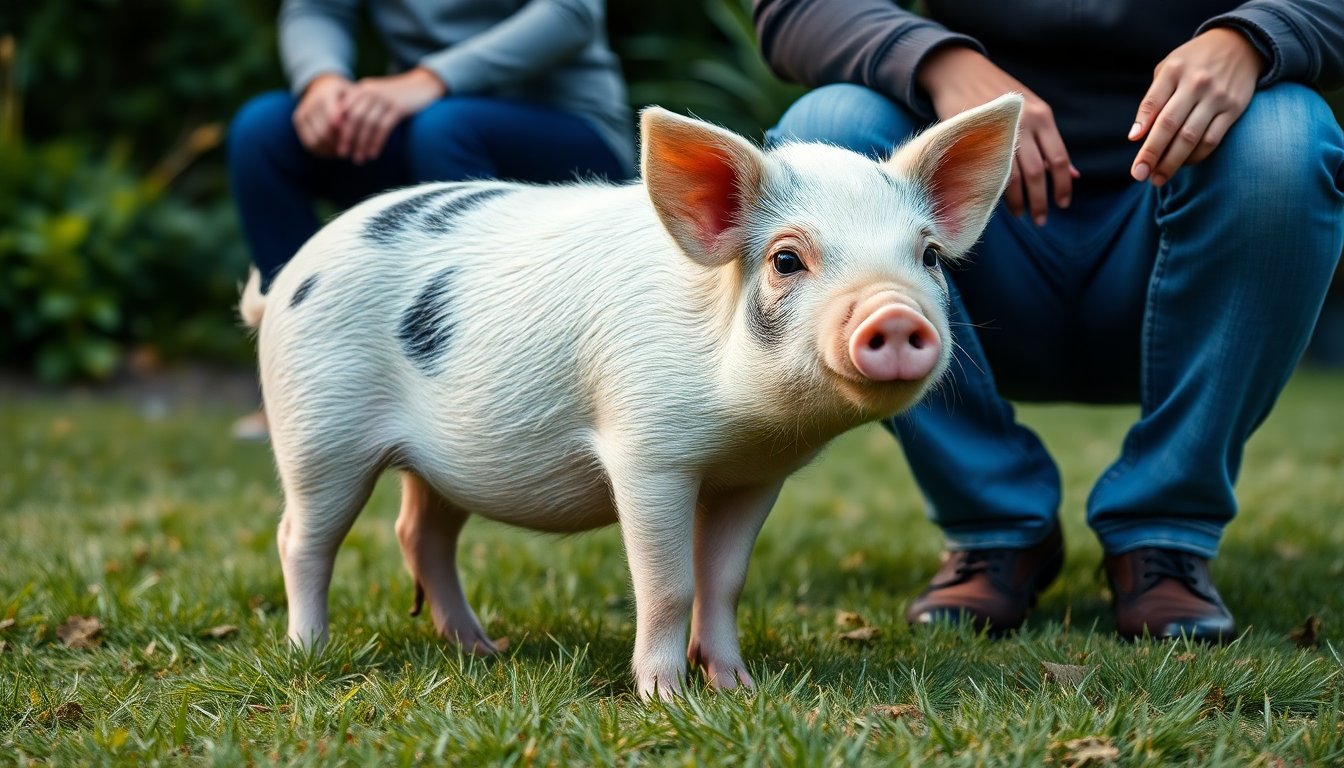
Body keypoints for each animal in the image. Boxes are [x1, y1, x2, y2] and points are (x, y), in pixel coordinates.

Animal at [239, 94, 1022, 701]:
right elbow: (668, 582)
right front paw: (666, 701)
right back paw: (310, 652)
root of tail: (285, 282)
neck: (747, 428)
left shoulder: (756, 476)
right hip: (316, 428)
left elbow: (725, 579)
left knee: (419, 533)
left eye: (927, 256)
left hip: (438, 461)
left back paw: (481, 651)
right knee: (301, 537)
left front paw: (738, 689)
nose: (894, 315)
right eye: (786, 259)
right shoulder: (647, 452)